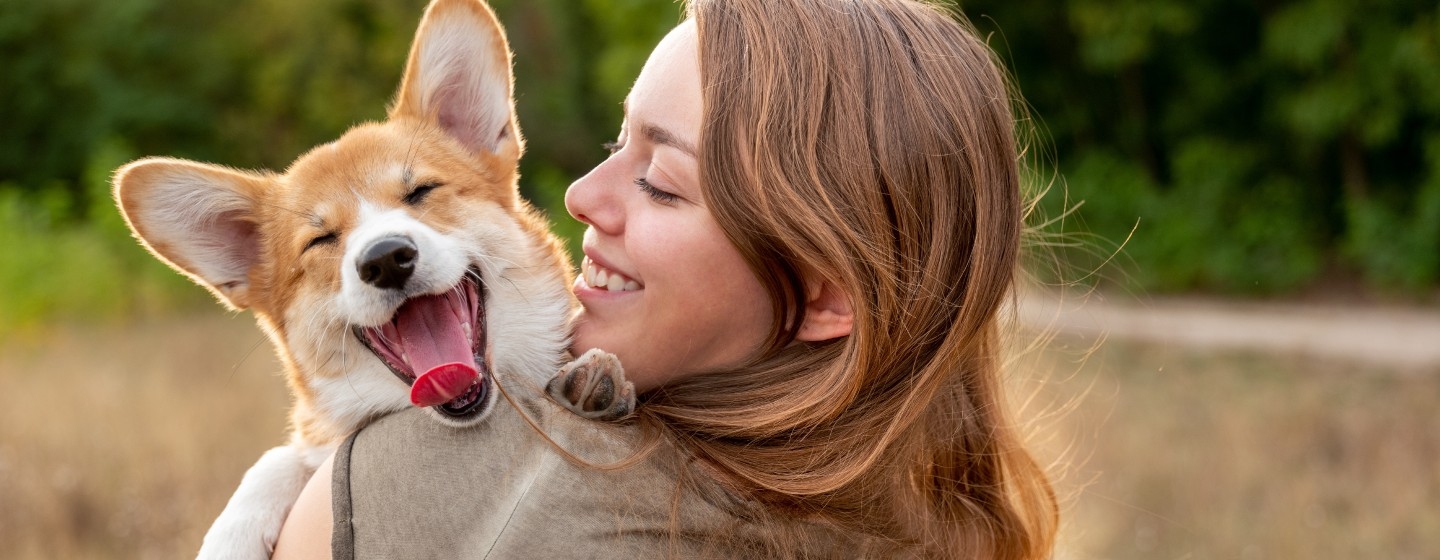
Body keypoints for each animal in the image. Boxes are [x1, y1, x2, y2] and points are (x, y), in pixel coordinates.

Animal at [112, 2, 630, 555]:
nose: (385, 259)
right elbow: (278, 458)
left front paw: (591, 381)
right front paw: (230, 538)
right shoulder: (315, 441)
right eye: (321, 240)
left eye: (421, 191)